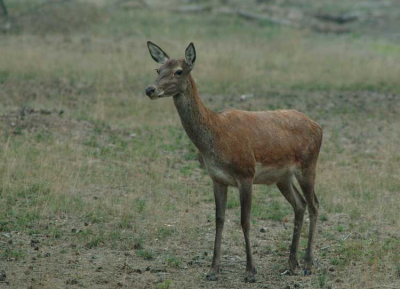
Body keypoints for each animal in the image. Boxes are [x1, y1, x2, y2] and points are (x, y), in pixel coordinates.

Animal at [145, 41, 324, 282]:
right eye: (158, 69)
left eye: (179, 71)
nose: (150, 90)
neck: (214, 137)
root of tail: (319, 127)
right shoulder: (217, 178)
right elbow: (219, 220)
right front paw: (213, 269)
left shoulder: (245, 173)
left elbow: (244, 221)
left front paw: (250, 271)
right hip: (283, 177)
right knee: (300, 204)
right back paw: (291, 263)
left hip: (308, 164)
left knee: (314, 204)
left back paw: (307, 264)